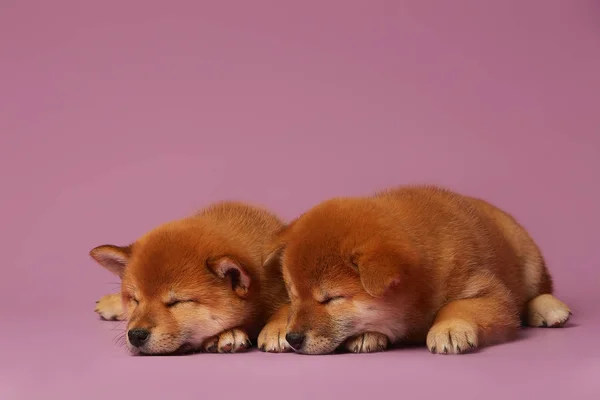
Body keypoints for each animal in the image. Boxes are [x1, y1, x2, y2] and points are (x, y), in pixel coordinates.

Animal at [92, 202, 290, 354]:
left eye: (177, 302)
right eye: (135, 299)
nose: (135, 335)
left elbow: (287, 306)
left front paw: (277, 328)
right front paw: (227, 333)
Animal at [258, 186, 572, 354]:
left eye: (331, 299)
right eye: (292, 295)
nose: (294, 338)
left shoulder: (491, 294)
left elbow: (459, 306)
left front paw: (449, 328)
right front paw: (277, 326)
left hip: (528, 258)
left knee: (538, 291)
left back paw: (550, 309)